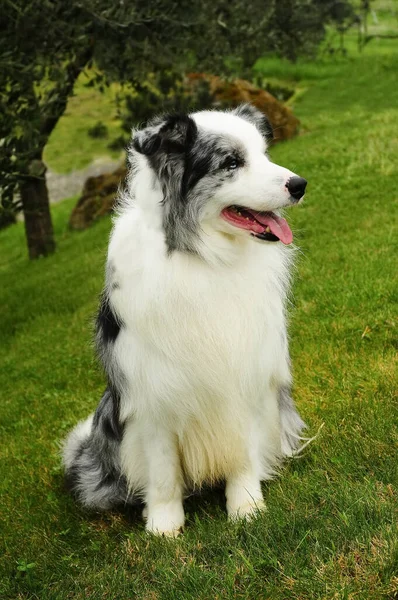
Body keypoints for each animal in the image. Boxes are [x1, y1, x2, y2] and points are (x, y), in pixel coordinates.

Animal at [63, 105, 310, 536]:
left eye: (264, 154)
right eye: (231, 163)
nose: (300, 185)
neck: (205, 256)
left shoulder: (244, 374)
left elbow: (241, 452)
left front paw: (246, 506)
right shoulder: (152, 392)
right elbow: (162, 472)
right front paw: (164, 527)